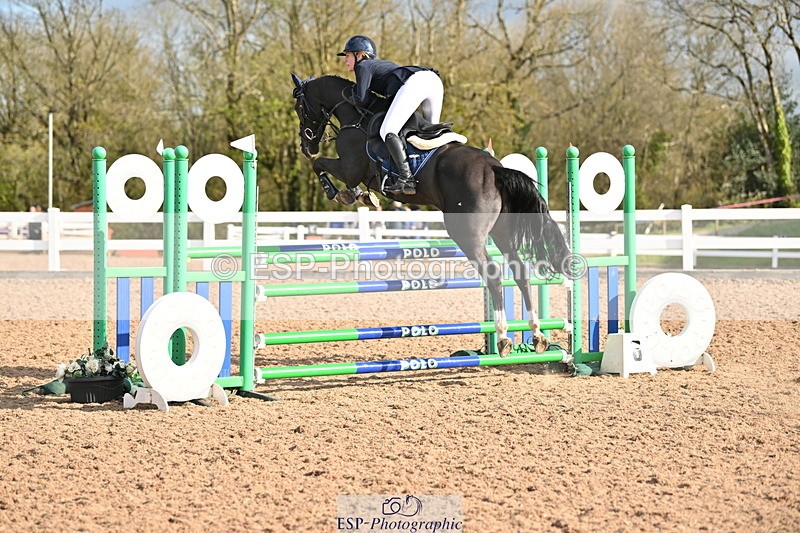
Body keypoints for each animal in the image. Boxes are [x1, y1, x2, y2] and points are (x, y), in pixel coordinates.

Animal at [291, 73, 571, 356]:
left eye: (300, 108)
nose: (306, 147)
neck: (355, 116)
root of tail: (494, 168)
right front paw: (361, 196)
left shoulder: (349, 168)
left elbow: (321, 166)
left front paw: (341, 193)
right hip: (501, 231)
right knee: (520, 271)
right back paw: (537, 335)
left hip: (466, 234)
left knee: (492, 273)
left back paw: (503, 337)